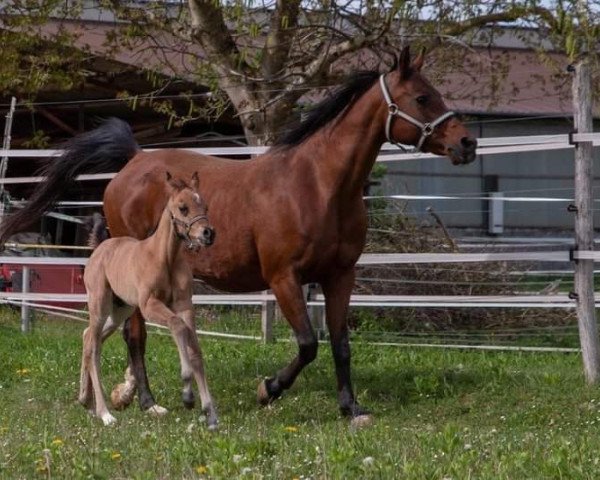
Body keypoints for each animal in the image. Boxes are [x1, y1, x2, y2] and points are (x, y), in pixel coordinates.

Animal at [79, 172, 218, 428]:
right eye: (183, 207)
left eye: (204, 206)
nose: (208, 233)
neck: (165, 257)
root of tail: (100, 247)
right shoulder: (149, 305)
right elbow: (177, 326)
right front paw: (187, 394)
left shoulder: (185, 305)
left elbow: (195, 350)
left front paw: (210, 413)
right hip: (100, 305)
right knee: (93, 346)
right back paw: (105, 414)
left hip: (120, 310)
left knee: (88, 337)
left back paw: (86, 400)